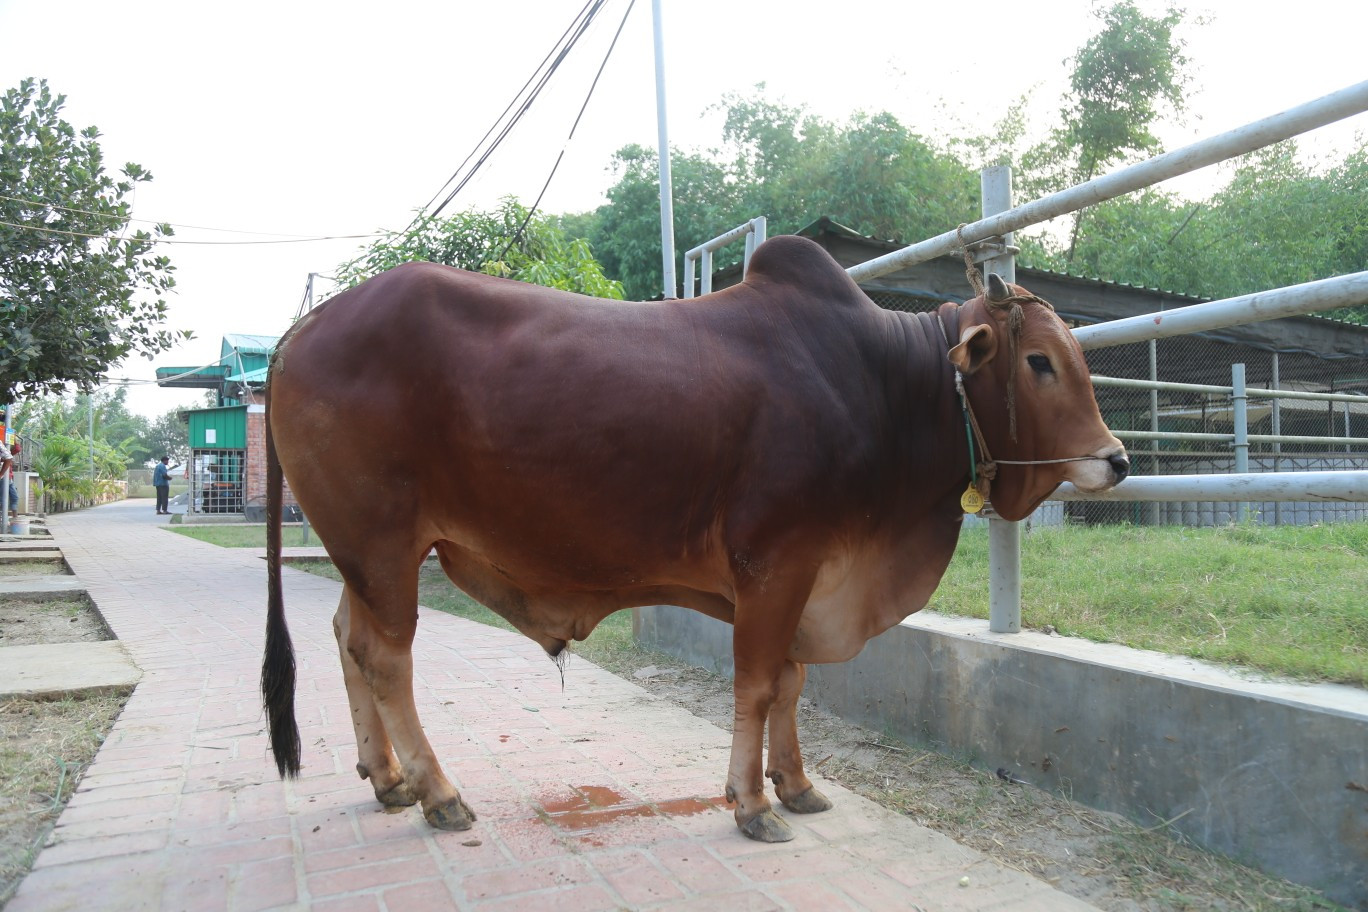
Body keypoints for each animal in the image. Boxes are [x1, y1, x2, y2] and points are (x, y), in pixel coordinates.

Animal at [261, 234, 1127, 843]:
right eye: (1040, 361)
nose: (1116, 459)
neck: (885, 384)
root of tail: (305, 327)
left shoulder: (805, 574)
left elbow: (791, 683)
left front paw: (797, 785)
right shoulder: (775, 563)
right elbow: (758, 684)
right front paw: (751, 803)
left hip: (369, 555)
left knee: (347, 638)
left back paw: (388, 779)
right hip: (381, 545)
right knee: (386, 659)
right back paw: (439, 794)